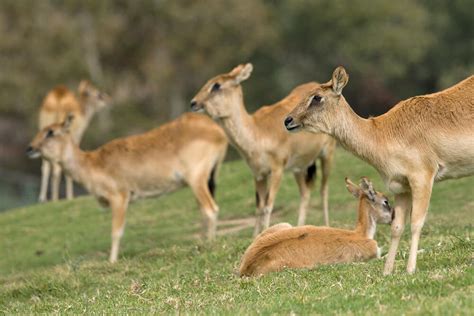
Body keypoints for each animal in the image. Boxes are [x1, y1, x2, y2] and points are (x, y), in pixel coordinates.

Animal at [26, 113, 229, 262]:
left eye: (51, 132)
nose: (30, 148)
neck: (93, 163)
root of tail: (217, 131)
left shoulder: (119, 197)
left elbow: (116, 231)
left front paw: (112, 261)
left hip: (196, 179)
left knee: (211, 209)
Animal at [190, 63, 336, 235]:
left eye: (216, 85)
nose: (193, 103)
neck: (257, 133)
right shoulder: (259, 174)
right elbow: (259, 207)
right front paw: (255, 236)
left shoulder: (277, 170)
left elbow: (267, 205)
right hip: (298, 168)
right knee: (305, 193)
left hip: (327, 154)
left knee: (324, 189)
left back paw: (327, 225)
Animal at [286, 66, 474, 274]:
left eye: (317, 97)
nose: (288, 120)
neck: (382, 133)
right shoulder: (401, 187)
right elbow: (397, 227)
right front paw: (387, 272)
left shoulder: (423, 178)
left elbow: (416, 223)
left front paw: (410, 269)